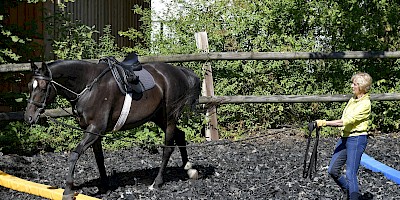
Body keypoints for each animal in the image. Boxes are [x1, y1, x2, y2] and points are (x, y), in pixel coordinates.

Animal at [23, 56, 202, 200]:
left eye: (43, 87)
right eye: (30, 86)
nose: (29, 117)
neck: (89, 85)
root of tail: (179, 71)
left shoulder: (95, 129)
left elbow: (75, 154)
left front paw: (68, 189)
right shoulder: (93, 131)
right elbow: (99, 158)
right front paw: (105, 185)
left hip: (170, 117)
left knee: (167, 148)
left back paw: (157, 183)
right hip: (159, 117)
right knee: (180, 135)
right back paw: (189, 169)